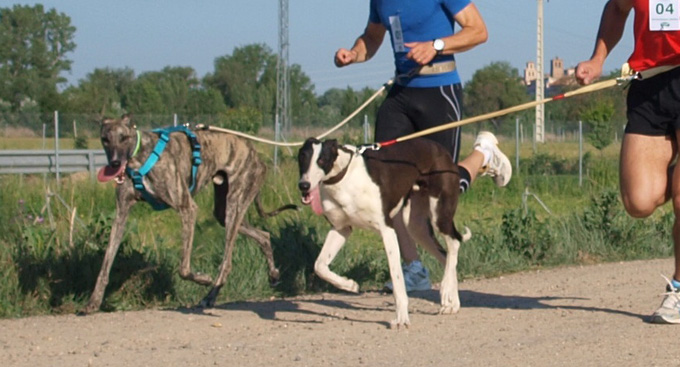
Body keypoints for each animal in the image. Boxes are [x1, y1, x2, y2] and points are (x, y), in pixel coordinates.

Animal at [300, 137, 470, 328]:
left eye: (321, 160)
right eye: (302, 158)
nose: (303, 185)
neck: (345, 175)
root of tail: (440, 149)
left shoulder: (387, 230)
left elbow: (397, 281)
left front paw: (402, 319)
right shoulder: (340, 229)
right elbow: (320, 266)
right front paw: (349, 285)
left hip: (440, 215)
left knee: (454, 243)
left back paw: (446, 289)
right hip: (416, 226)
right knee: (445, 256)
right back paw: (452, 302)